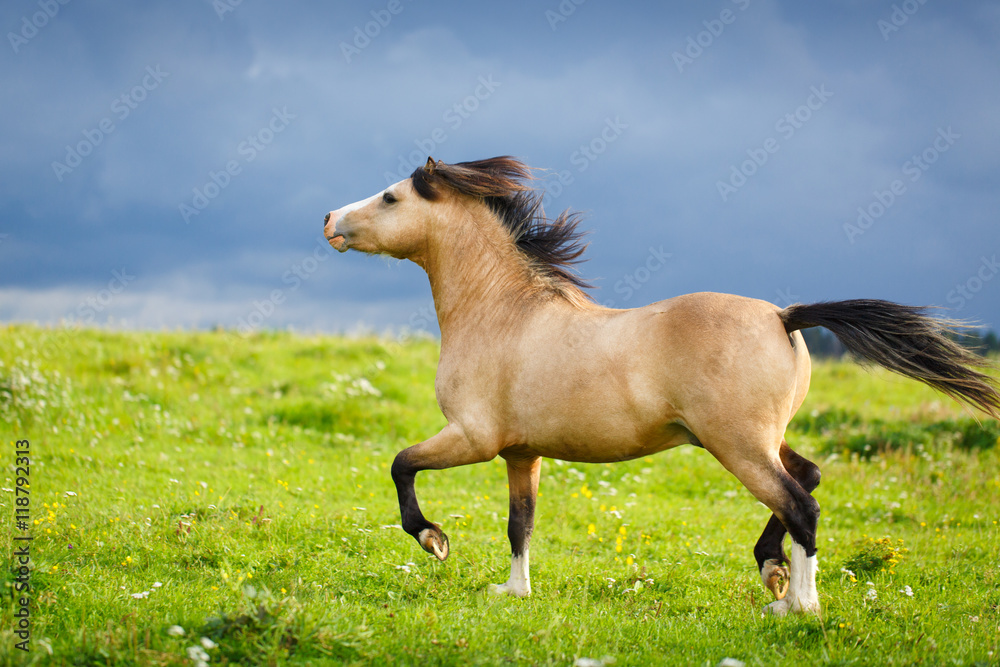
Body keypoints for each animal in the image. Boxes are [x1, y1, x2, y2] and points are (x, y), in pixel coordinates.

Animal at [323, 156, 1000, 615]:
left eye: (390, 197)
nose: (329, 217)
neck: (504, 314)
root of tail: (784, 316)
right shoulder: (521, 453)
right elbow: (521, 525)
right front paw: (513, 590)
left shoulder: (472, 437)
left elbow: (401, 464)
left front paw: (434, 540)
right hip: (762, 439)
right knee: (805, 479)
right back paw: (773, 576)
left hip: (737, 444)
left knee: (799, 504)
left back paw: (797, 604)